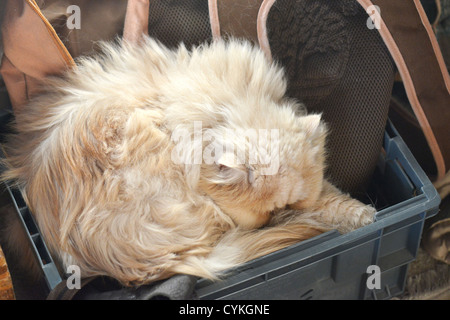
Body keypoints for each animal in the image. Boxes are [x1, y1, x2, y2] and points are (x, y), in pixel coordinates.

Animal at [0, 36, 376, 286]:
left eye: (282, 207)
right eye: (267, 213)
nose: (275, 219)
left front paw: (364, 214)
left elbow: (333, 200)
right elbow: (324, 207)